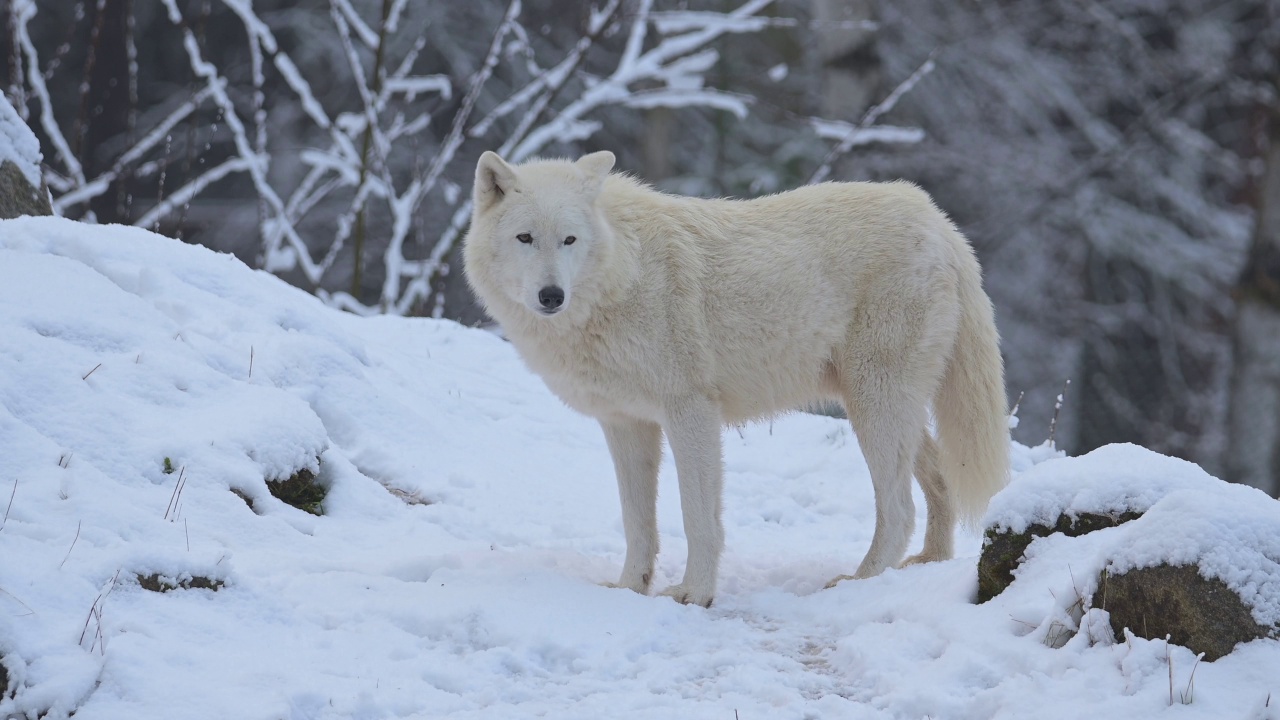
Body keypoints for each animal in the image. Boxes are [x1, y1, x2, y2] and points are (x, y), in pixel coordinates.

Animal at [460, 151, 1008, 604]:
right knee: (940, 481)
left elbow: (697, 518)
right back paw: (925, 564)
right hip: (885, 407)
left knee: (898, 509)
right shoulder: (626, 424)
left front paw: (694, 594)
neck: (622, 276)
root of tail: (940, 222)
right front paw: (629, 588)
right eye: (525, 238)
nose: (552, 295)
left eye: (569, 240)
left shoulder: (691, 412)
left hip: (875, 405)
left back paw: (860, 581)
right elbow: (638, 523)